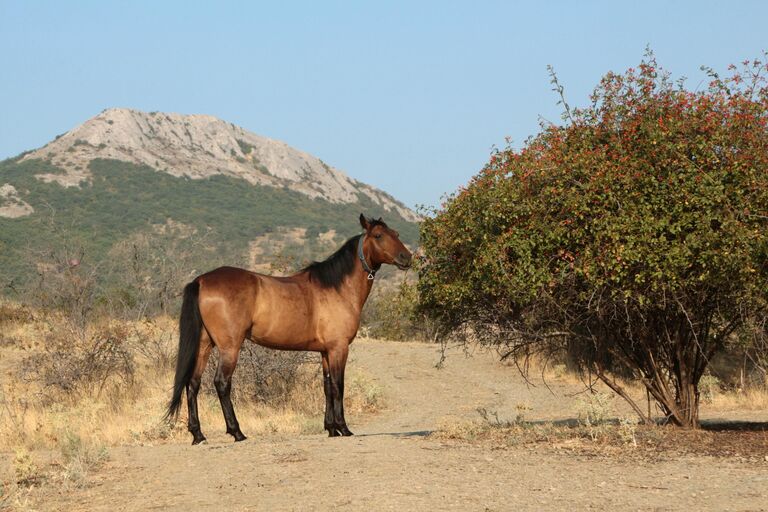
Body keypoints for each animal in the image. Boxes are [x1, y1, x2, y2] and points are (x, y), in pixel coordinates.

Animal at [165, 214, 412, 442]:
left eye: (397, 233)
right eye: (378, 235)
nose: (407, 257)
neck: (337, 288)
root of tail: (201, 281)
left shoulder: (325, 352)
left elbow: (327, 386)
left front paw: (331, 428)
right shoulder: (338, 348)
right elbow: (338, 386)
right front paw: (343, 428)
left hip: (204, 345)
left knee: (193, 383)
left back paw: (198, 434)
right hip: (229, 347)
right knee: (222, 383)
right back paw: (237, 432)